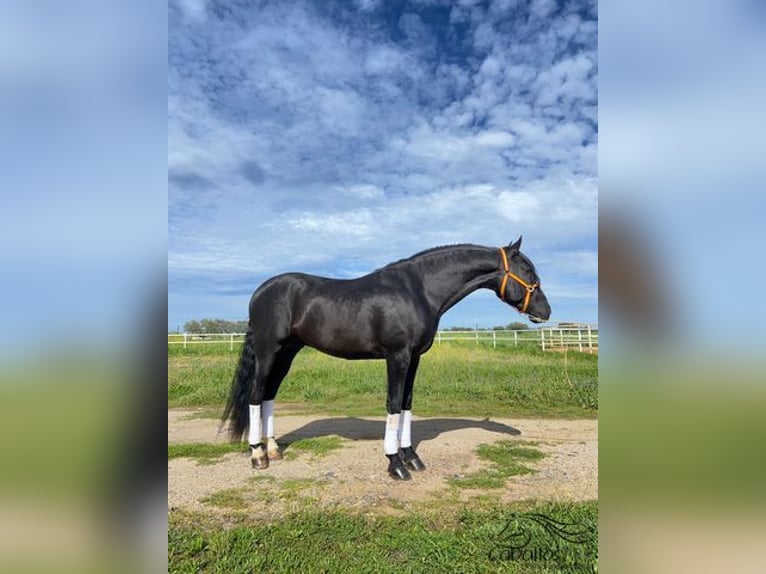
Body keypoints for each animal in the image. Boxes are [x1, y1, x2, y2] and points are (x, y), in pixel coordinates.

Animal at [222, 238, 552, 482]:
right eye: (527, 270)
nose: (546, 312)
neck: (418, 290)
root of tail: (261, 291)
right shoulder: (397, 356)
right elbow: (393, 404)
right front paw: (395, 464)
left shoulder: (414, 358)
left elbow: (407, 404)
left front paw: (412, 457)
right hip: (269, 352)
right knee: (255, 396)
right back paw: (257, 456)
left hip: (287, 353)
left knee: (269, 396)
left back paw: (273, 450)